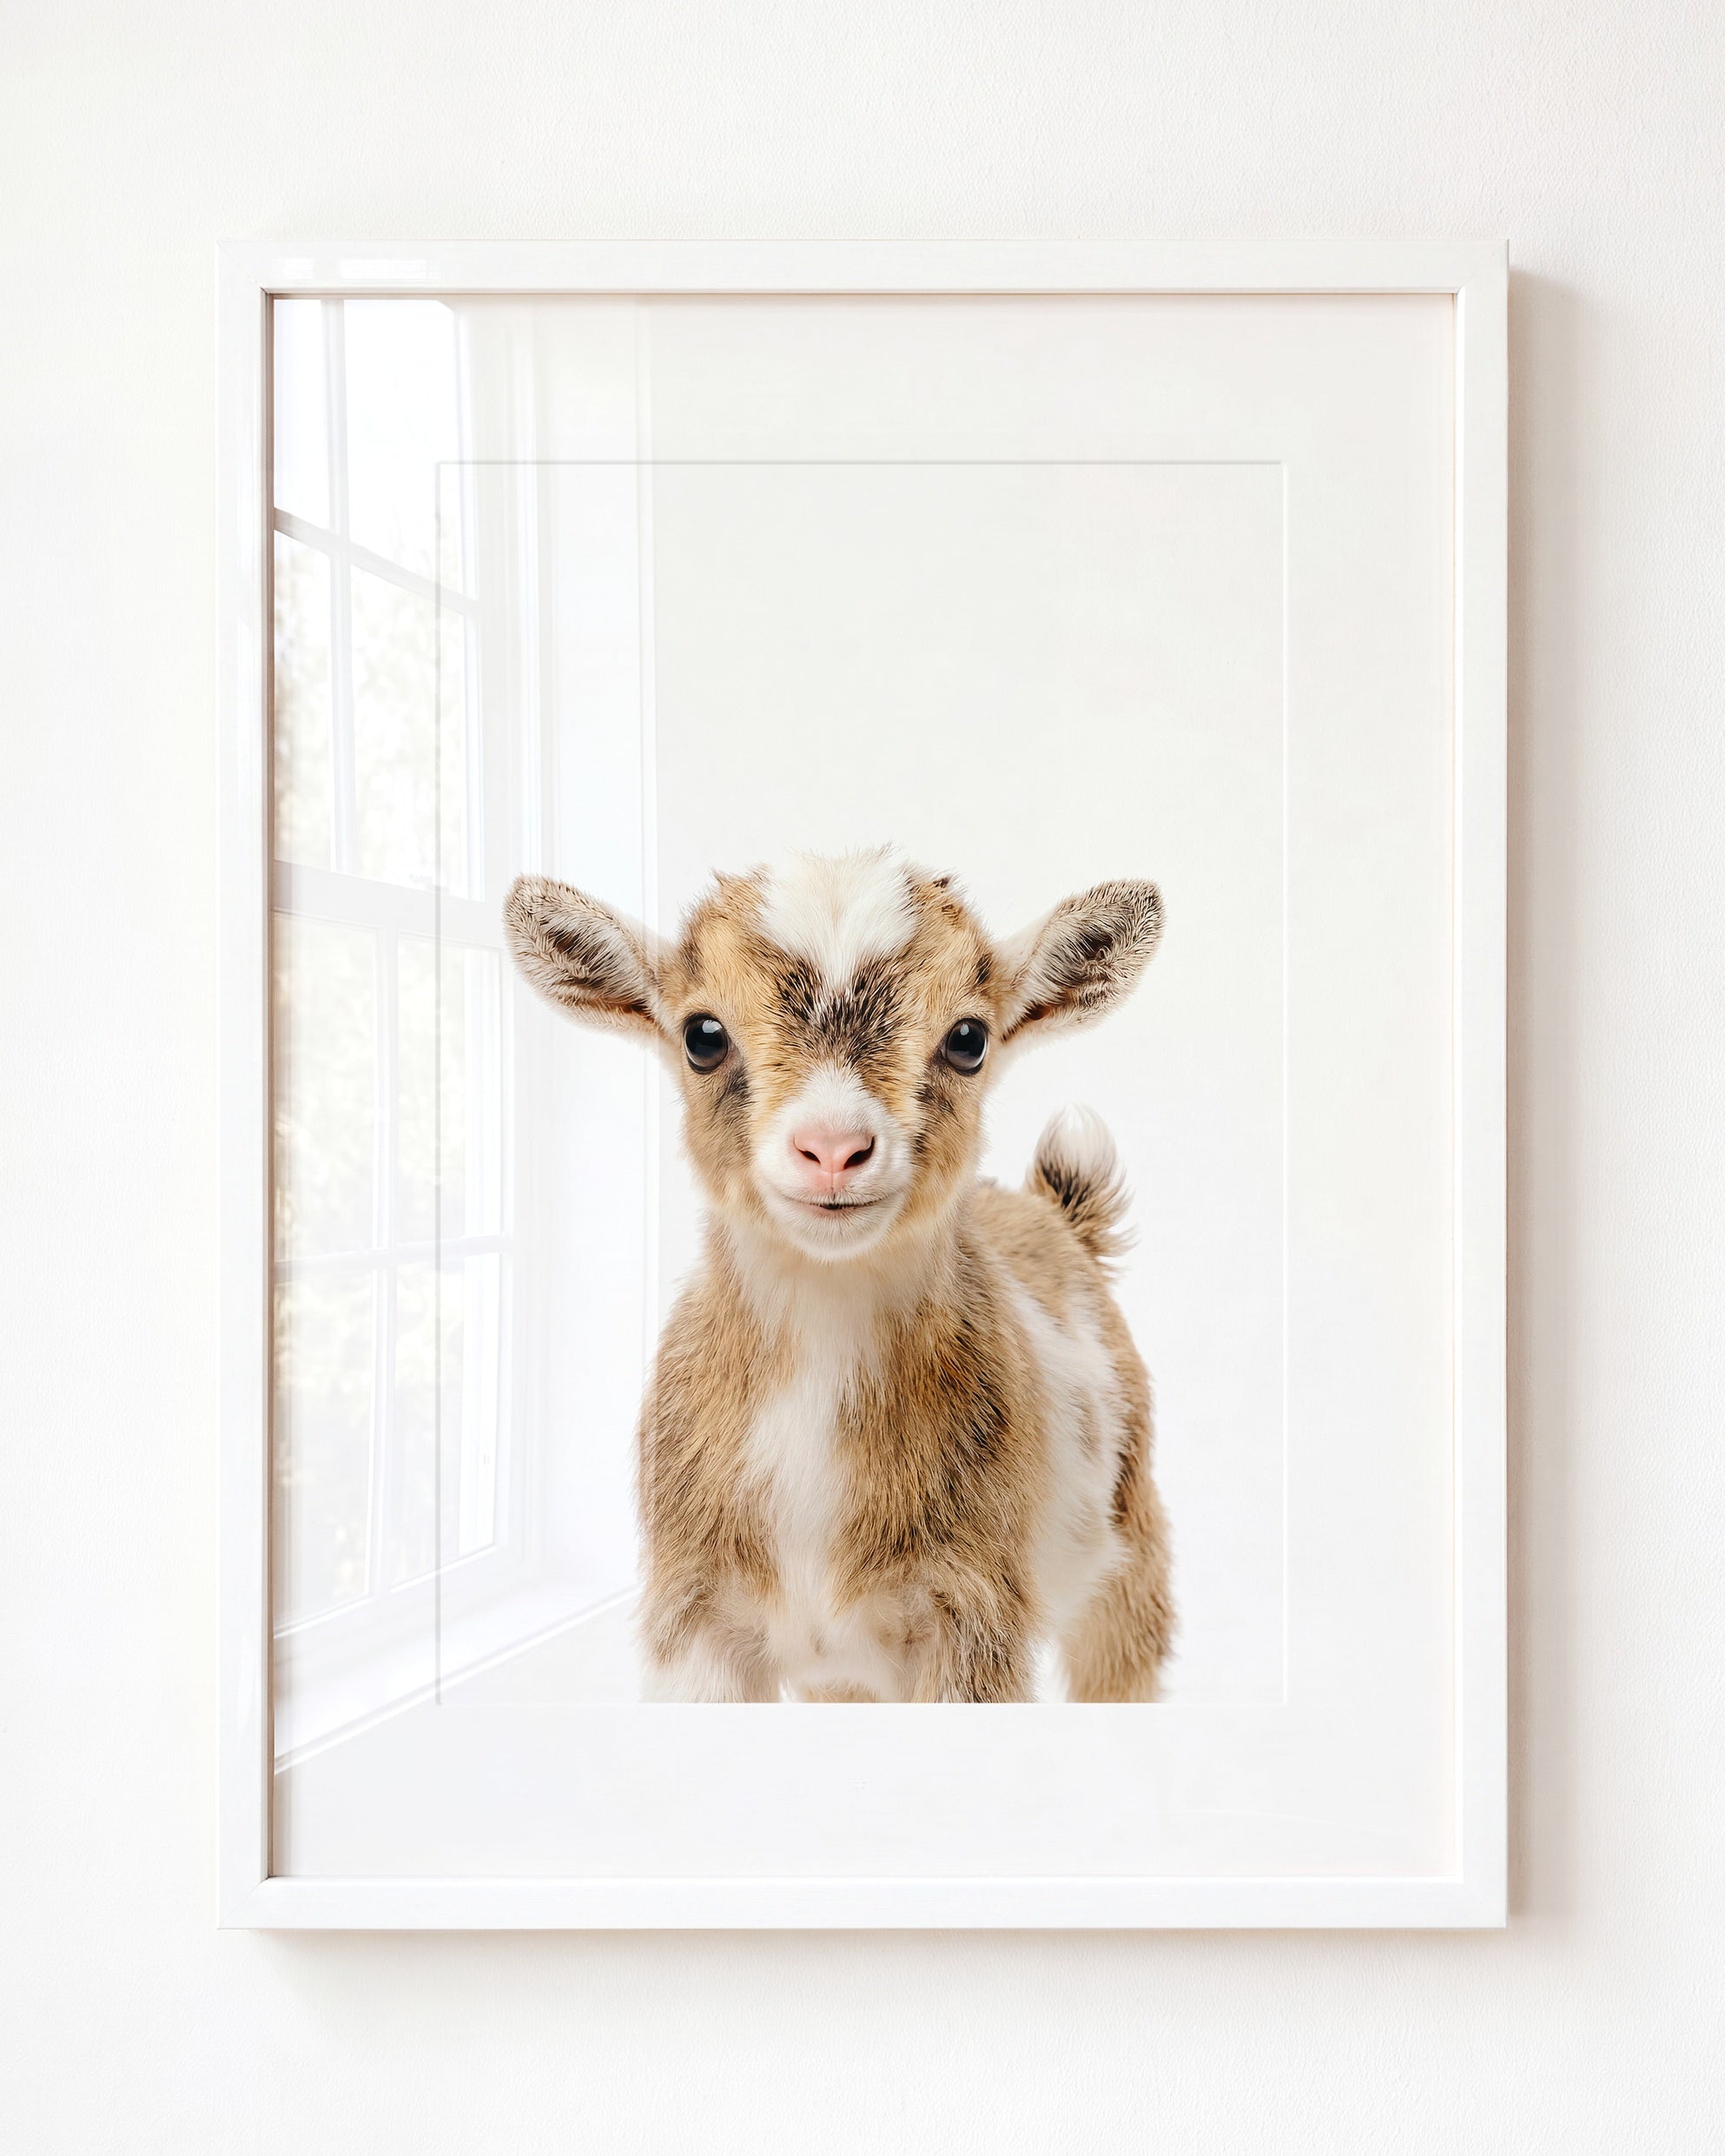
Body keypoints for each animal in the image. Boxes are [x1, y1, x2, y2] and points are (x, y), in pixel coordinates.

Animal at [504, 847, 1173, 1702]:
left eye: (968, 1039)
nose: (831, 1148)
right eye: (702, 1035)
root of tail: (1057, 1215)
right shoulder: (694, 1617)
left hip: (1132, 1549)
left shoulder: (974, 1614)